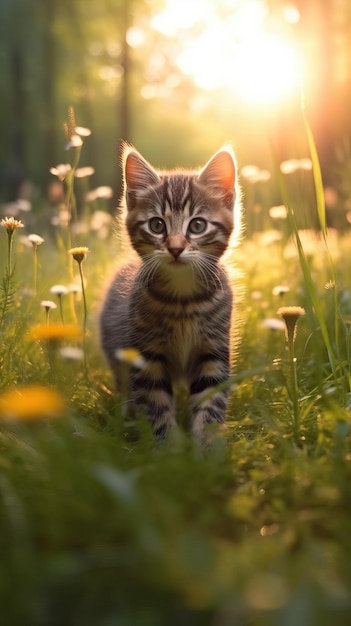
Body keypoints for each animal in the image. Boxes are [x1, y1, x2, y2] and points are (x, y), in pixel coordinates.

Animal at [100, 145, 241, 438]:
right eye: (157, 225)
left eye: (197, 225)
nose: (175, 248)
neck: (183, 298)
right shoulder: (146, 356)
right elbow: (156, 406)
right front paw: (169, 446)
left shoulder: (213, 351)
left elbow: (211, 401)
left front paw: (207, 444)